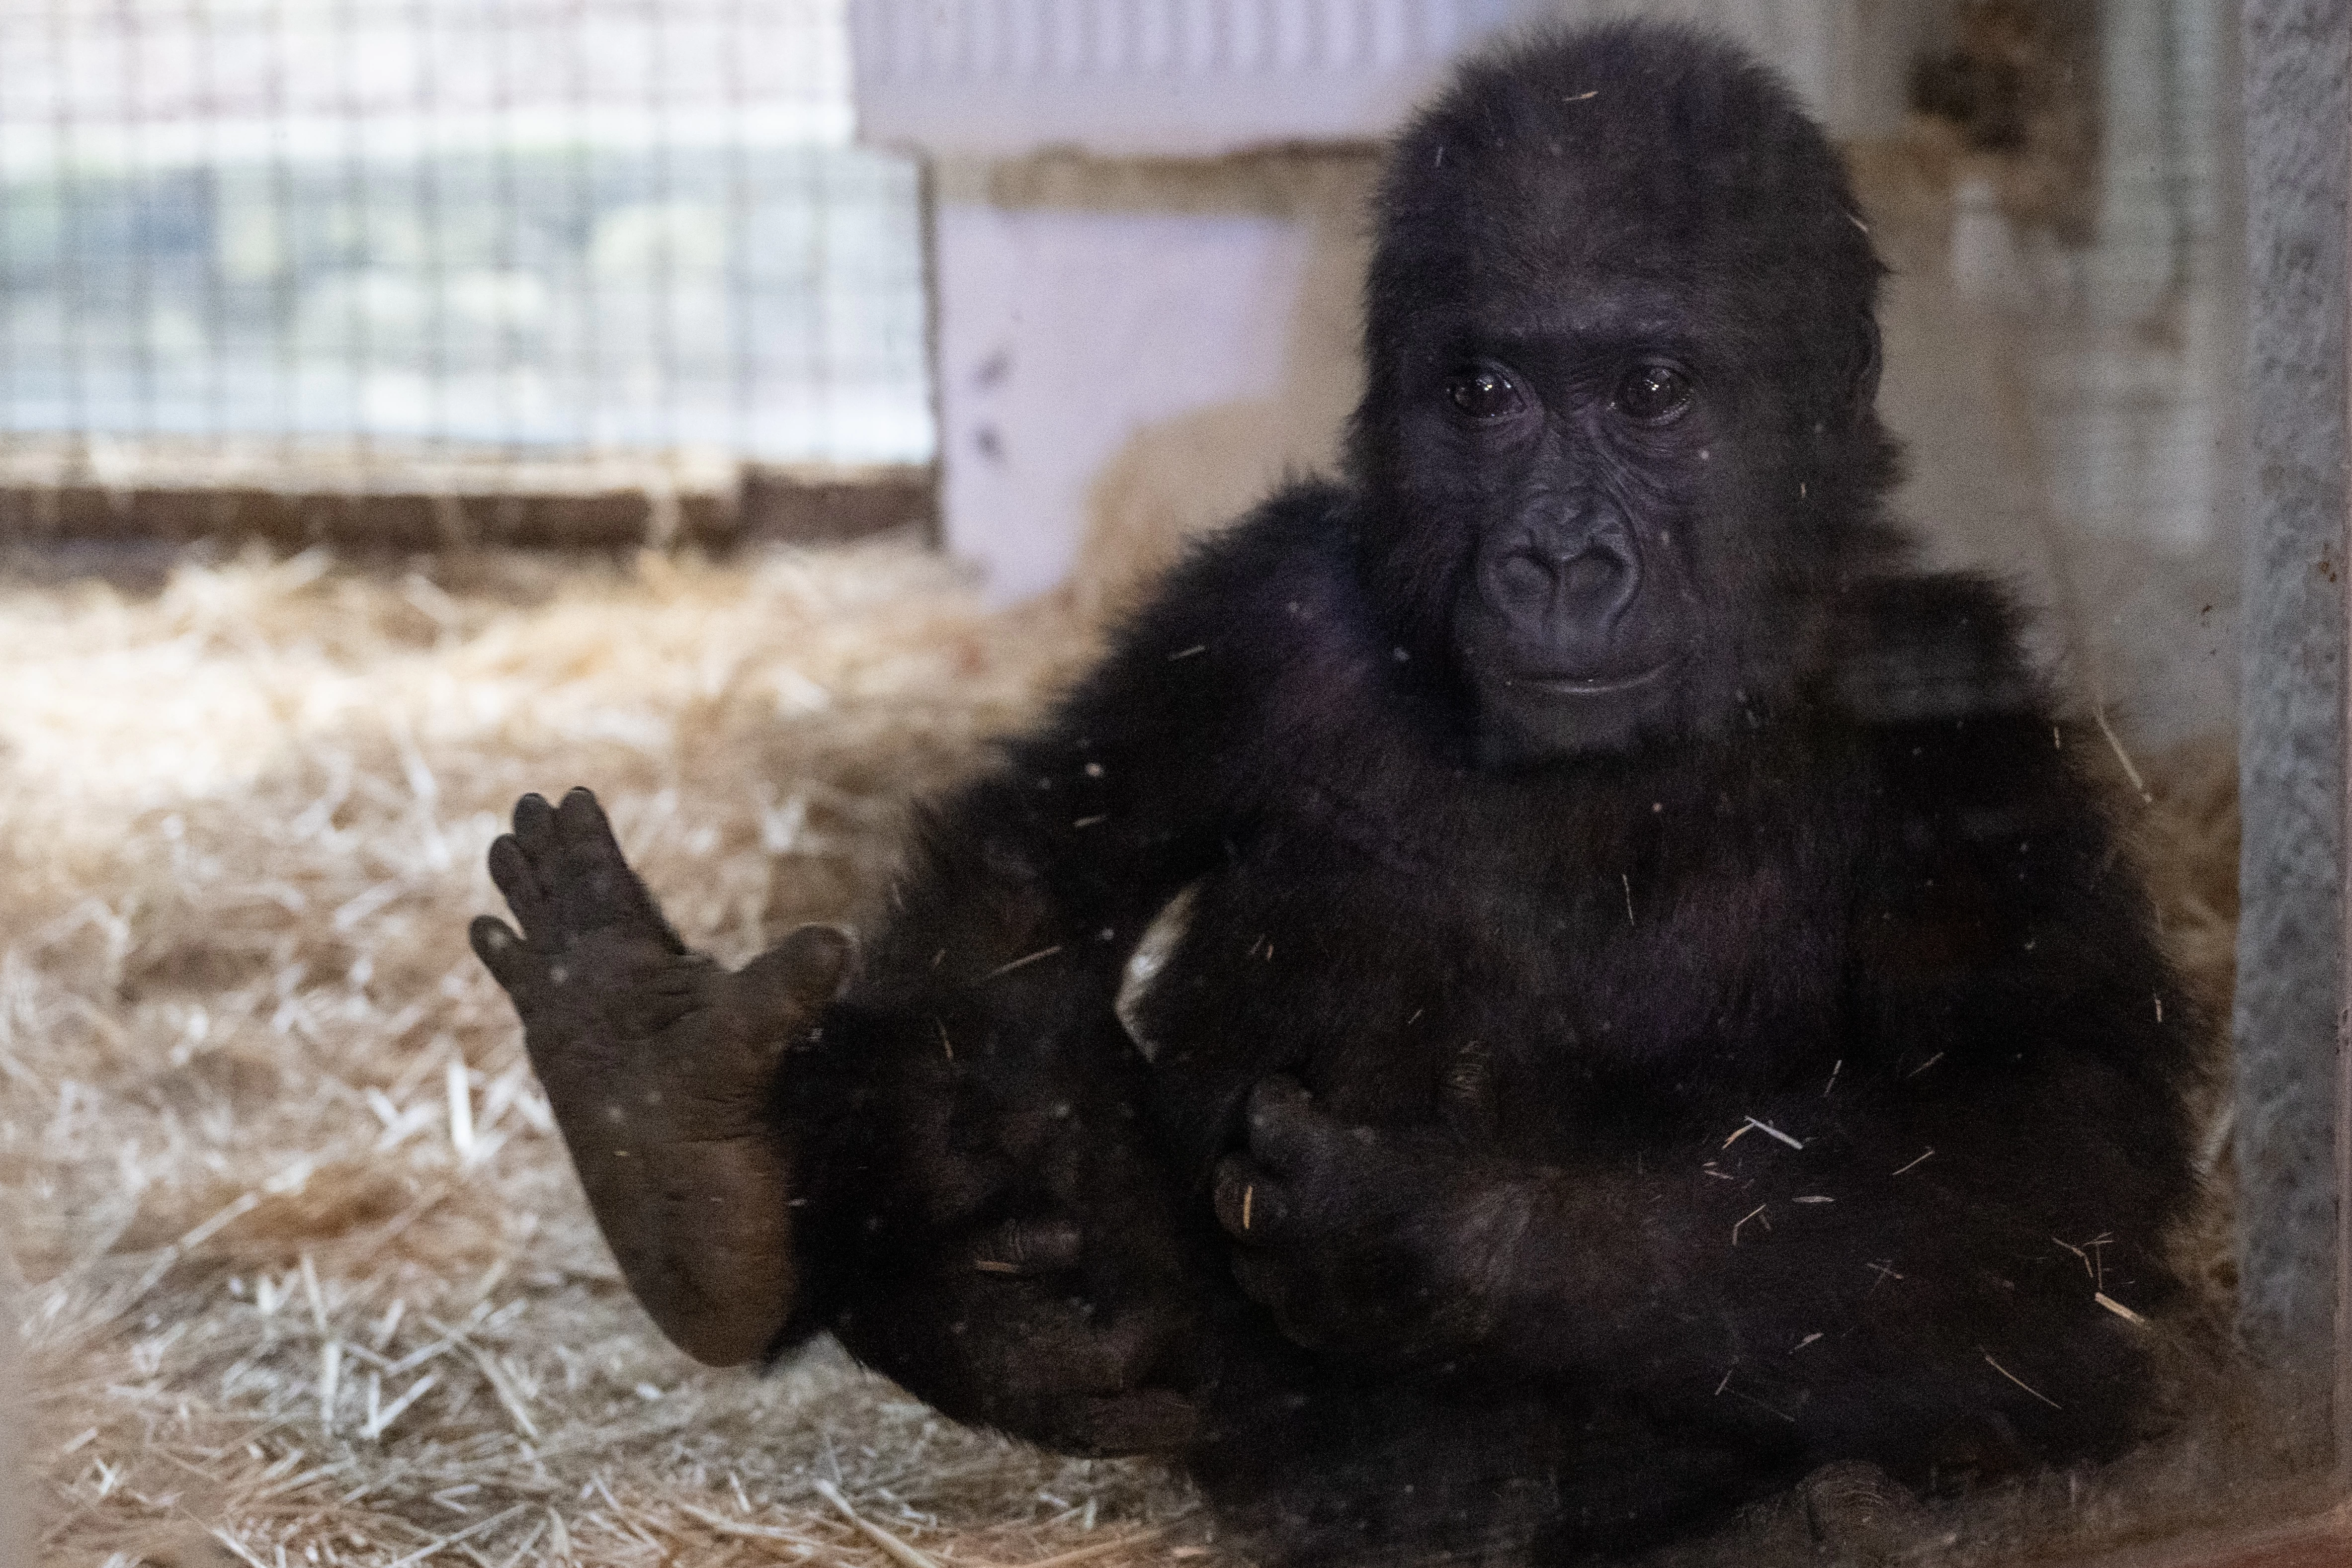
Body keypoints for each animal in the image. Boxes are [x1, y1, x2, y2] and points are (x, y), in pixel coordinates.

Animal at [477, 24, 2201, 1568]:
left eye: (1650, 391)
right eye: (1486, 392)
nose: (1558, 559)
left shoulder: (1955, 695)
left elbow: (2054, 1135)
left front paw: (1443, 1233)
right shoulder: (1259, 608)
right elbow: (1034, 887)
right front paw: (996, 1316)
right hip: (1252, 1426)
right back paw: (671, 1135)